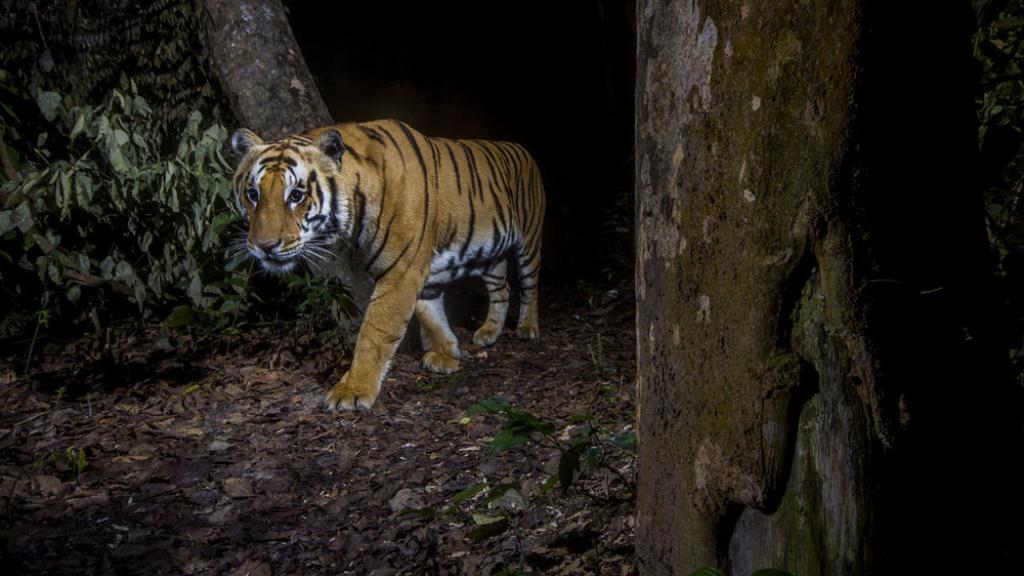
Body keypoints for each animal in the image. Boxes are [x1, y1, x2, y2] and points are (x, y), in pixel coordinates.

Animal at [229, 119, 545, 411]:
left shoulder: (402, 270)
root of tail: (523, 149)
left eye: (296, 195)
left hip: (529, 240)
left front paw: (353, 391)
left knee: (530, 286)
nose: (264, 245)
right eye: (253, 194)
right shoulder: (419, 271)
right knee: (502, 290)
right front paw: (446, 353)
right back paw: (488, 333)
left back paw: (527, 328)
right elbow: (430, 312)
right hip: (491, 256)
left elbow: (375, 332)